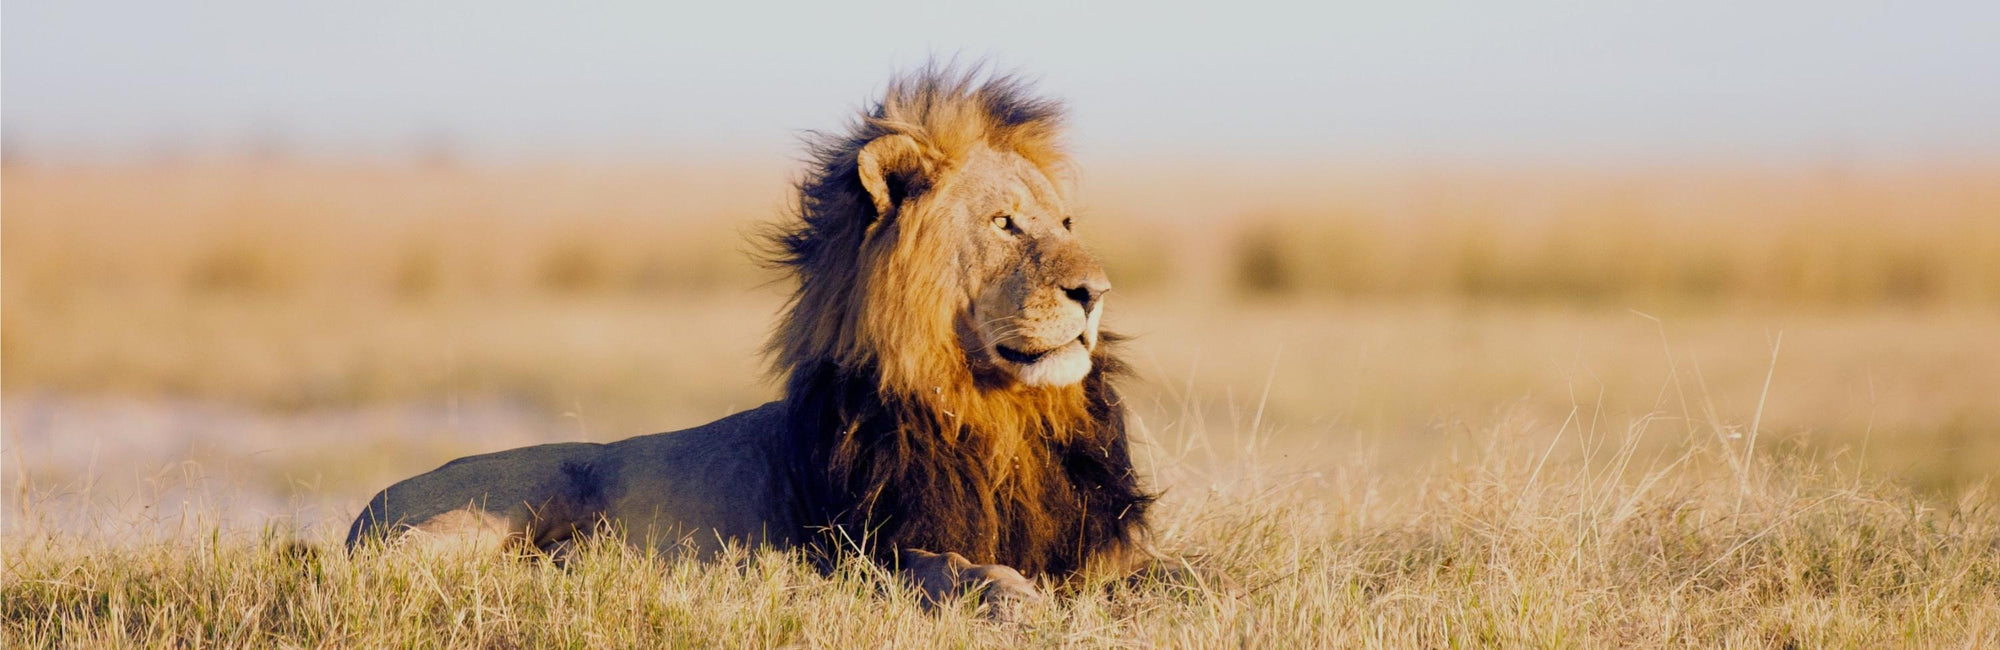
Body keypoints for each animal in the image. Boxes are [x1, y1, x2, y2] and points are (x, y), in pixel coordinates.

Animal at [346, 67, 1172, 612]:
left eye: (1065, 223)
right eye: (1005, 224)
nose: (1095, 292)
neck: (996, 413)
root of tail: (363, 512)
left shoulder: (1098, 543)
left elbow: (1177, 569)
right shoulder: (856, 551)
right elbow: (950, 566)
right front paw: (1011, 595)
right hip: (490, 504)